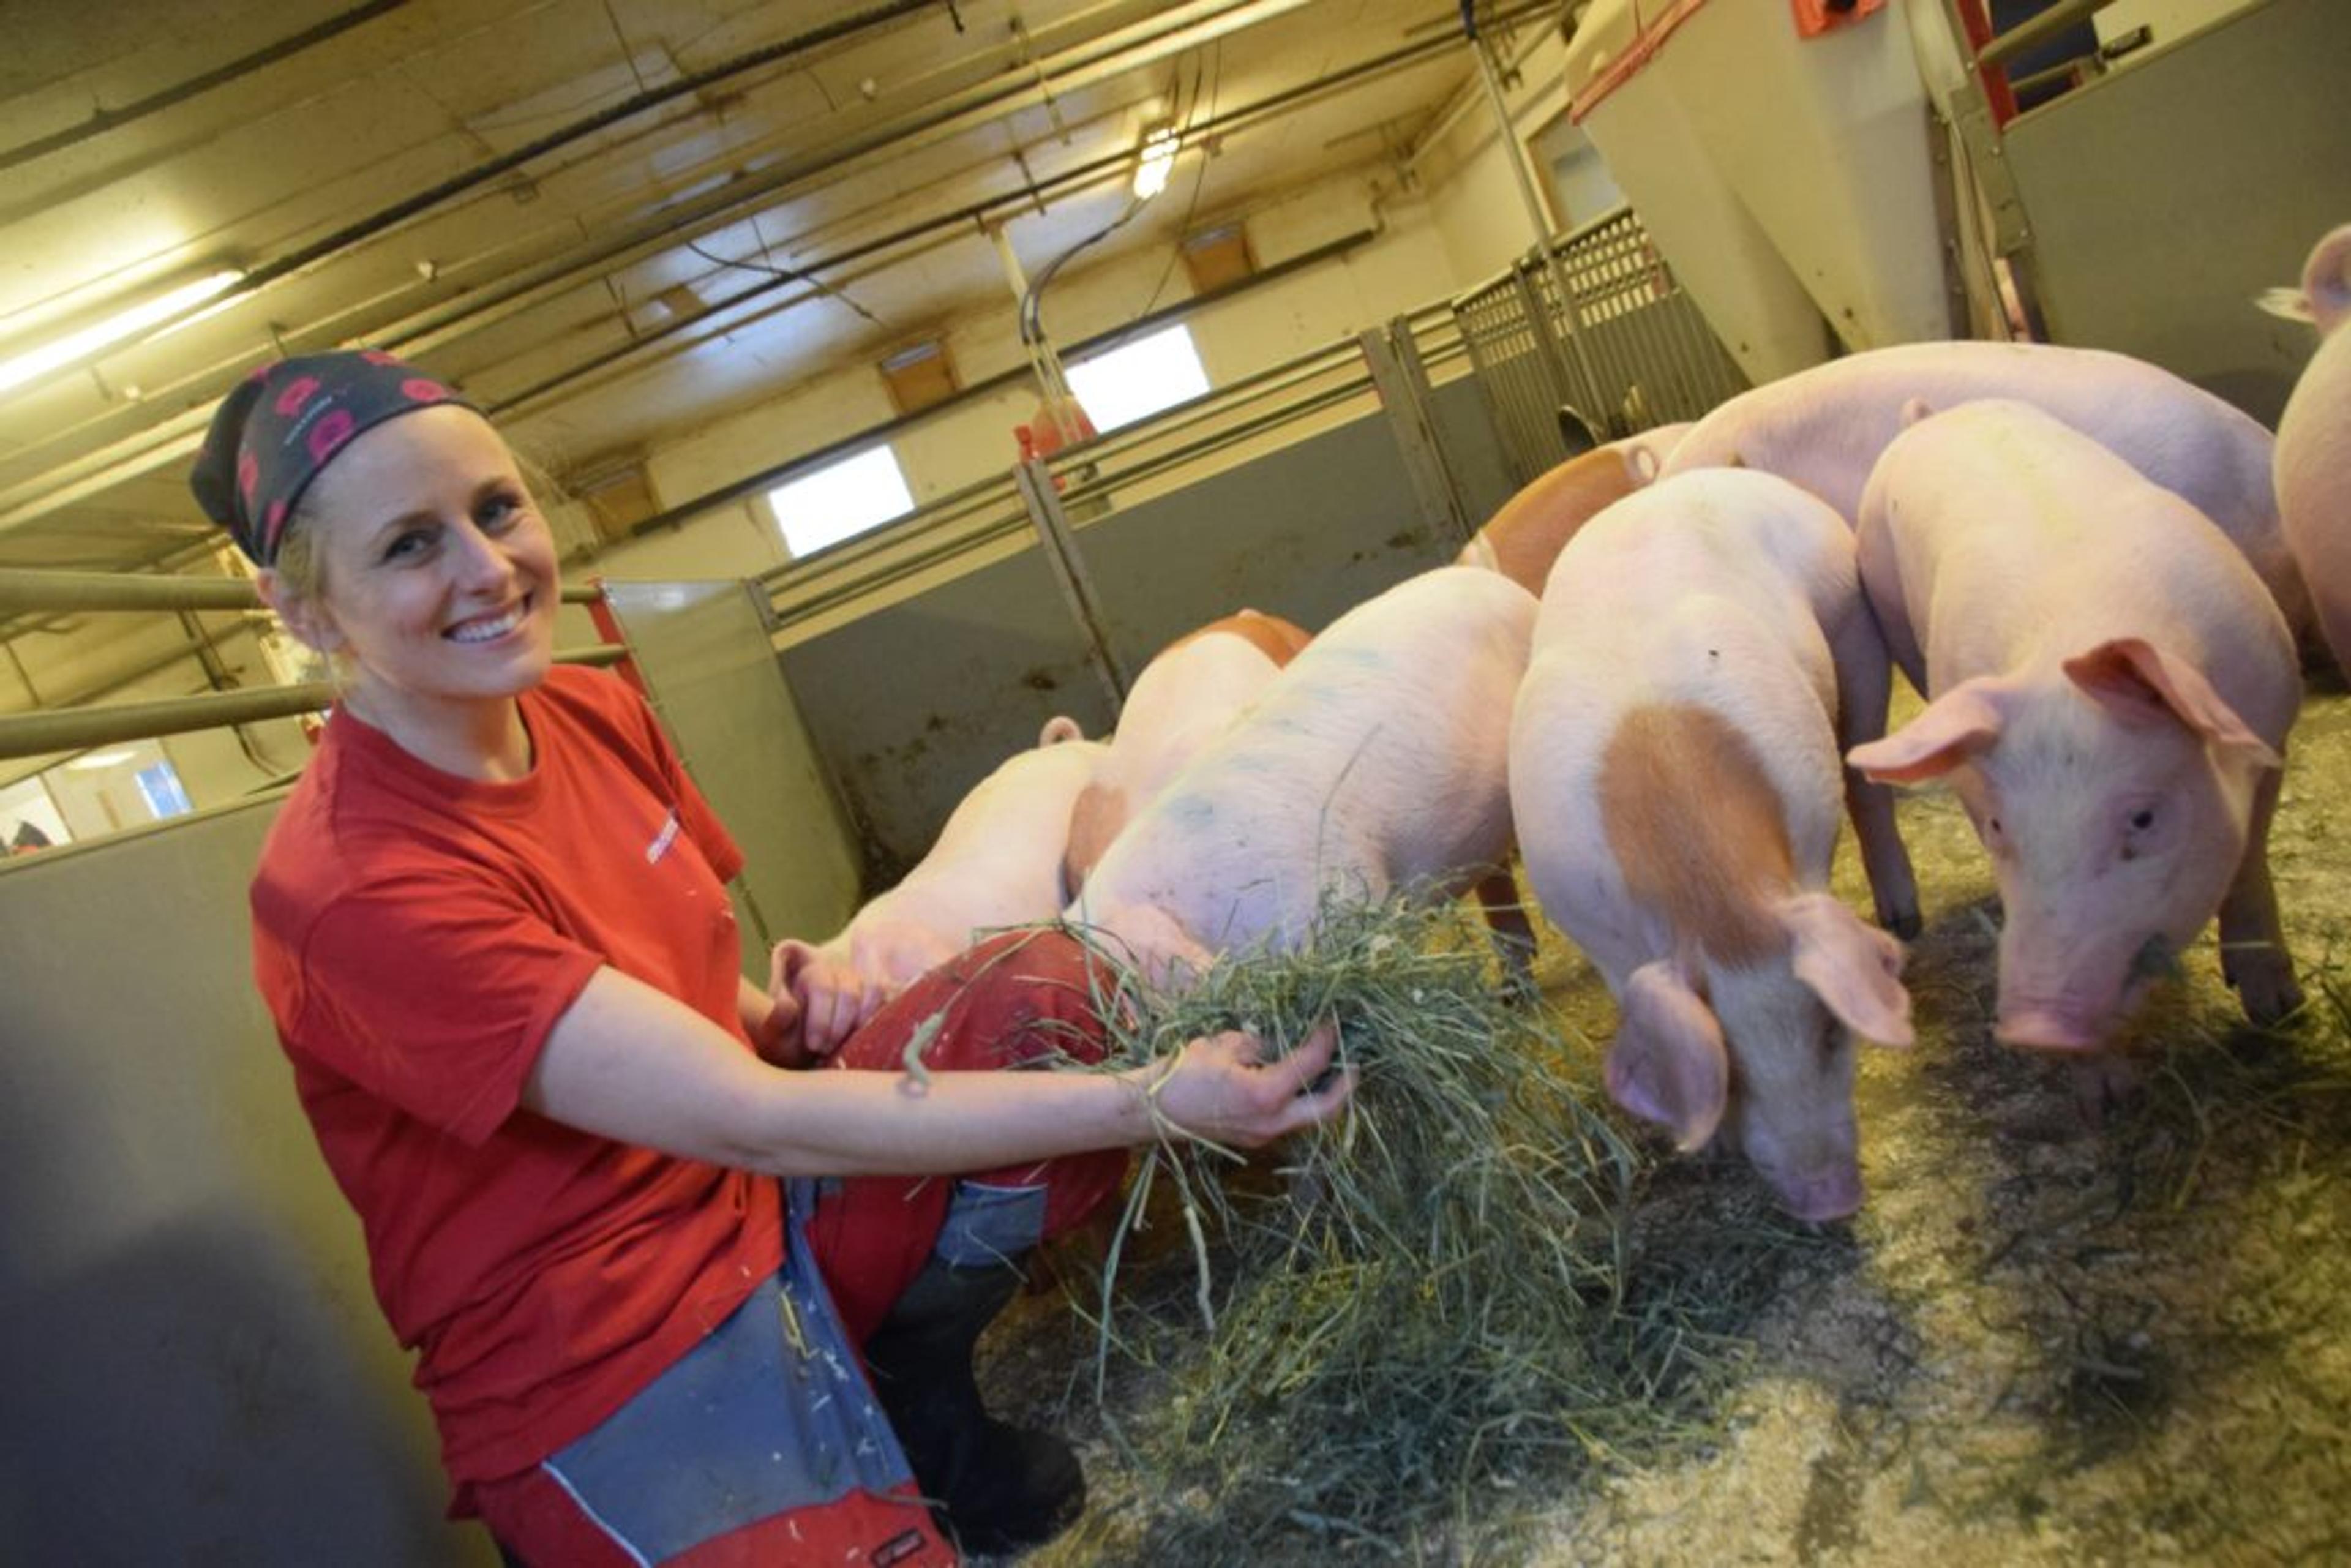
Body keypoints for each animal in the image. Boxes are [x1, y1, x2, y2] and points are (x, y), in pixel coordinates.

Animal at [1509, 469, 1917, 1221]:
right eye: (1735, 1069)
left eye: (1831, 1030)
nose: (1830, 1199)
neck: (1709, 892)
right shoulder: (1602, 936)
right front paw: (1712, 1147)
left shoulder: (1808, 847)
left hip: (1855, 628)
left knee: (1863, 775)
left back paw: (1905, 918)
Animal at [1846, 399, 2302, 1051]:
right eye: (1998, 825)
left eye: (2143, 817)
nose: (2035, 1027)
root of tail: (1928, 417)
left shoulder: (2273, 722)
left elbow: (2250, 857)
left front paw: (2280, 1011)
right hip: (1891, 609)